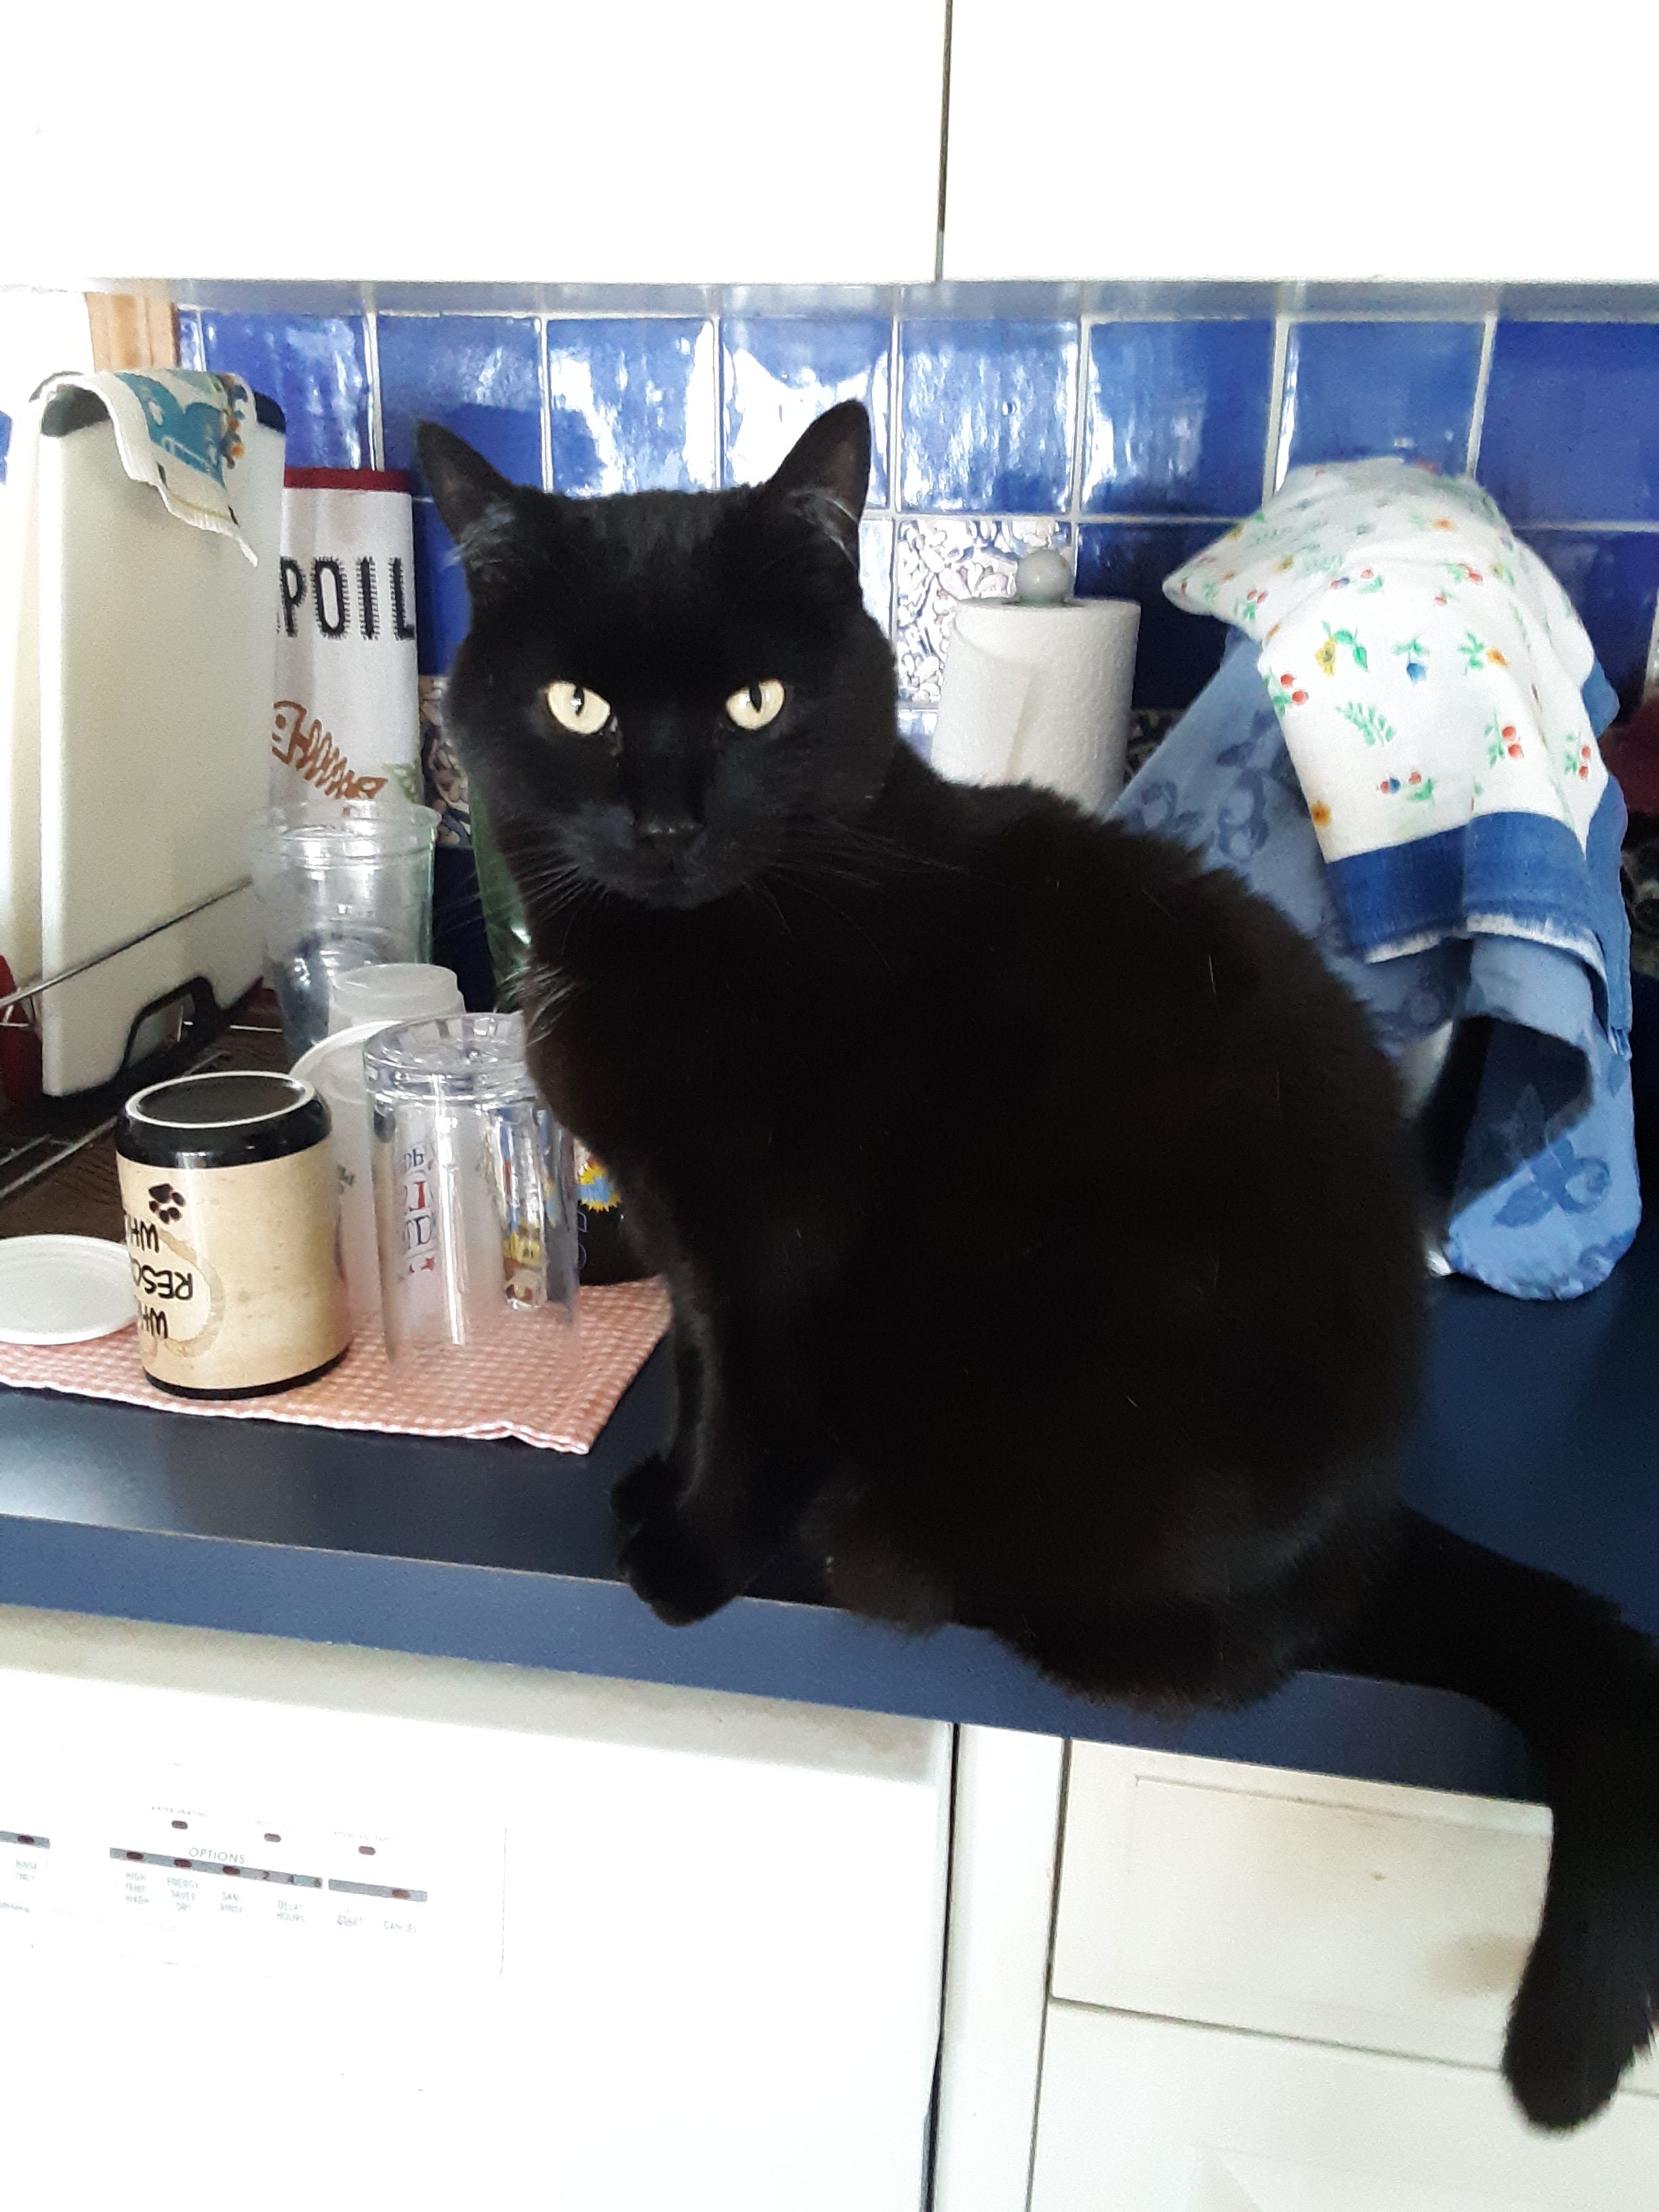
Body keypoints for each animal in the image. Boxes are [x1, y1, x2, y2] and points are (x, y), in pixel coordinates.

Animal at [420, 402, 1659, 2131]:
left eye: (754, 704)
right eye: (578, 708)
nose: (666, 822)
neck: (686, 953)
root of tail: (1370, 1520)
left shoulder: (778, 1240)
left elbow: (749, 1394)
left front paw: (697, 1554)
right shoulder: (680, 1233)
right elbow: (686, 1366)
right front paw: (655, 1484)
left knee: (1199, 1653)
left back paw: (877, 1553)